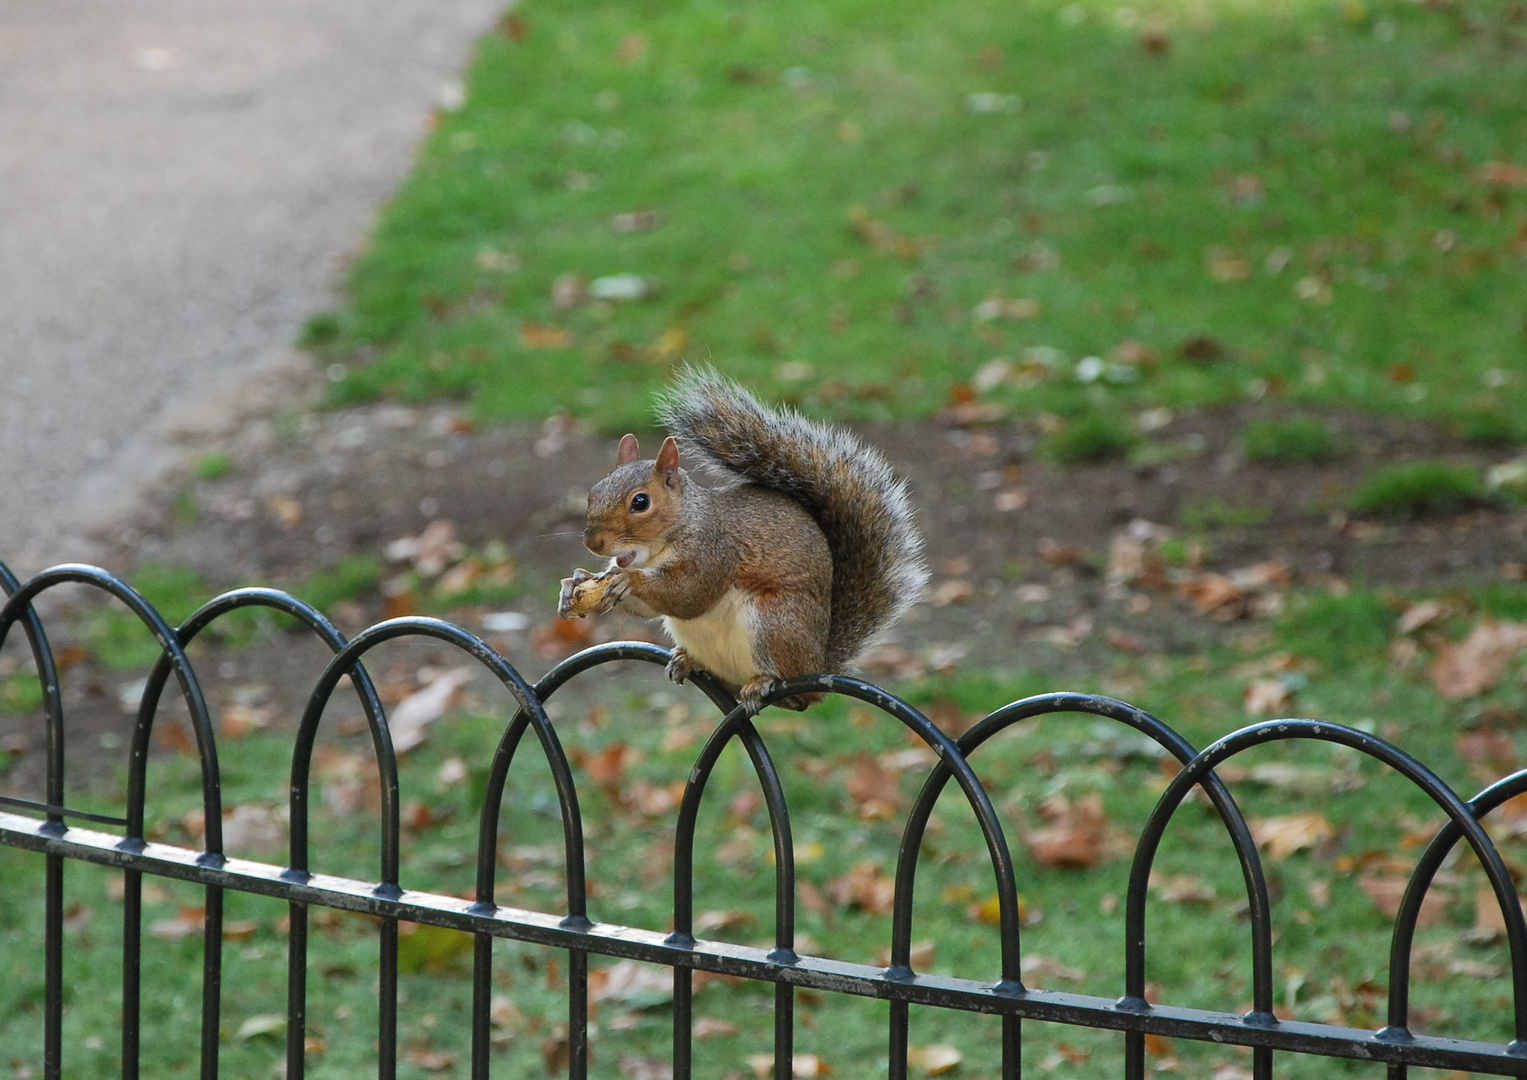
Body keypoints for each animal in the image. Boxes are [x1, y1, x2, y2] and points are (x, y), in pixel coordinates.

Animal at [555, 368, 922, 714]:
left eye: (640, 502)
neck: (658, 550)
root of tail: (818, 663)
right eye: (593, 492)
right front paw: (576, 582)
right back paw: (688, 661)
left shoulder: (716, 551)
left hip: (774, 621)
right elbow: (655, 606)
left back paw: (765, 683)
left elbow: (689, 594)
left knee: (795, 692)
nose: (593, 543)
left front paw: (628, 580)